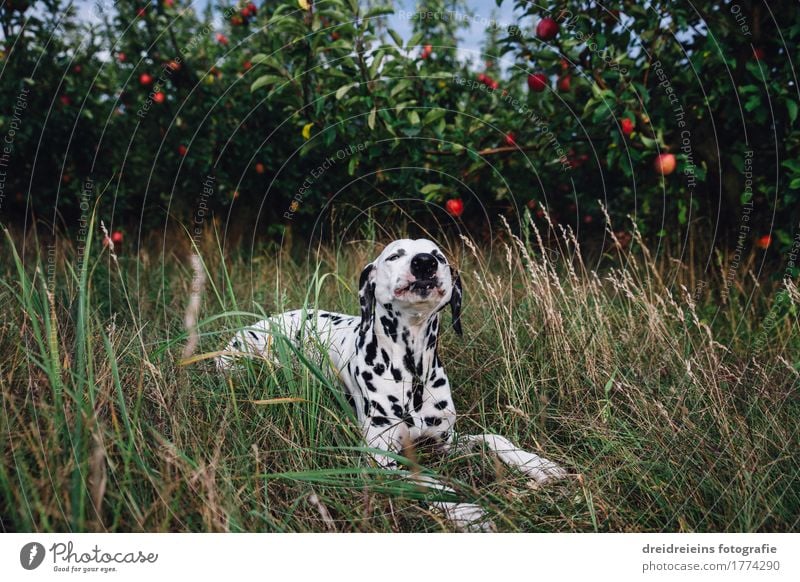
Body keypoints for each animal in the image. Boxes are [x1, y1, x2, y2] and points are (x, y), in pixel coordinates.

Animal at [216, 240, 564, 532]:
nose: (424, 263)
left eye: (438, 255)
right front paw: (466, 511)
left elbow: (492, 437)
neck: (413, 372)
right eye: (395, 255)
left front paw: (538, 464)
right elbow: (427, 480)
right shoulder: (380, 460)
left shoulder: (445, 442)